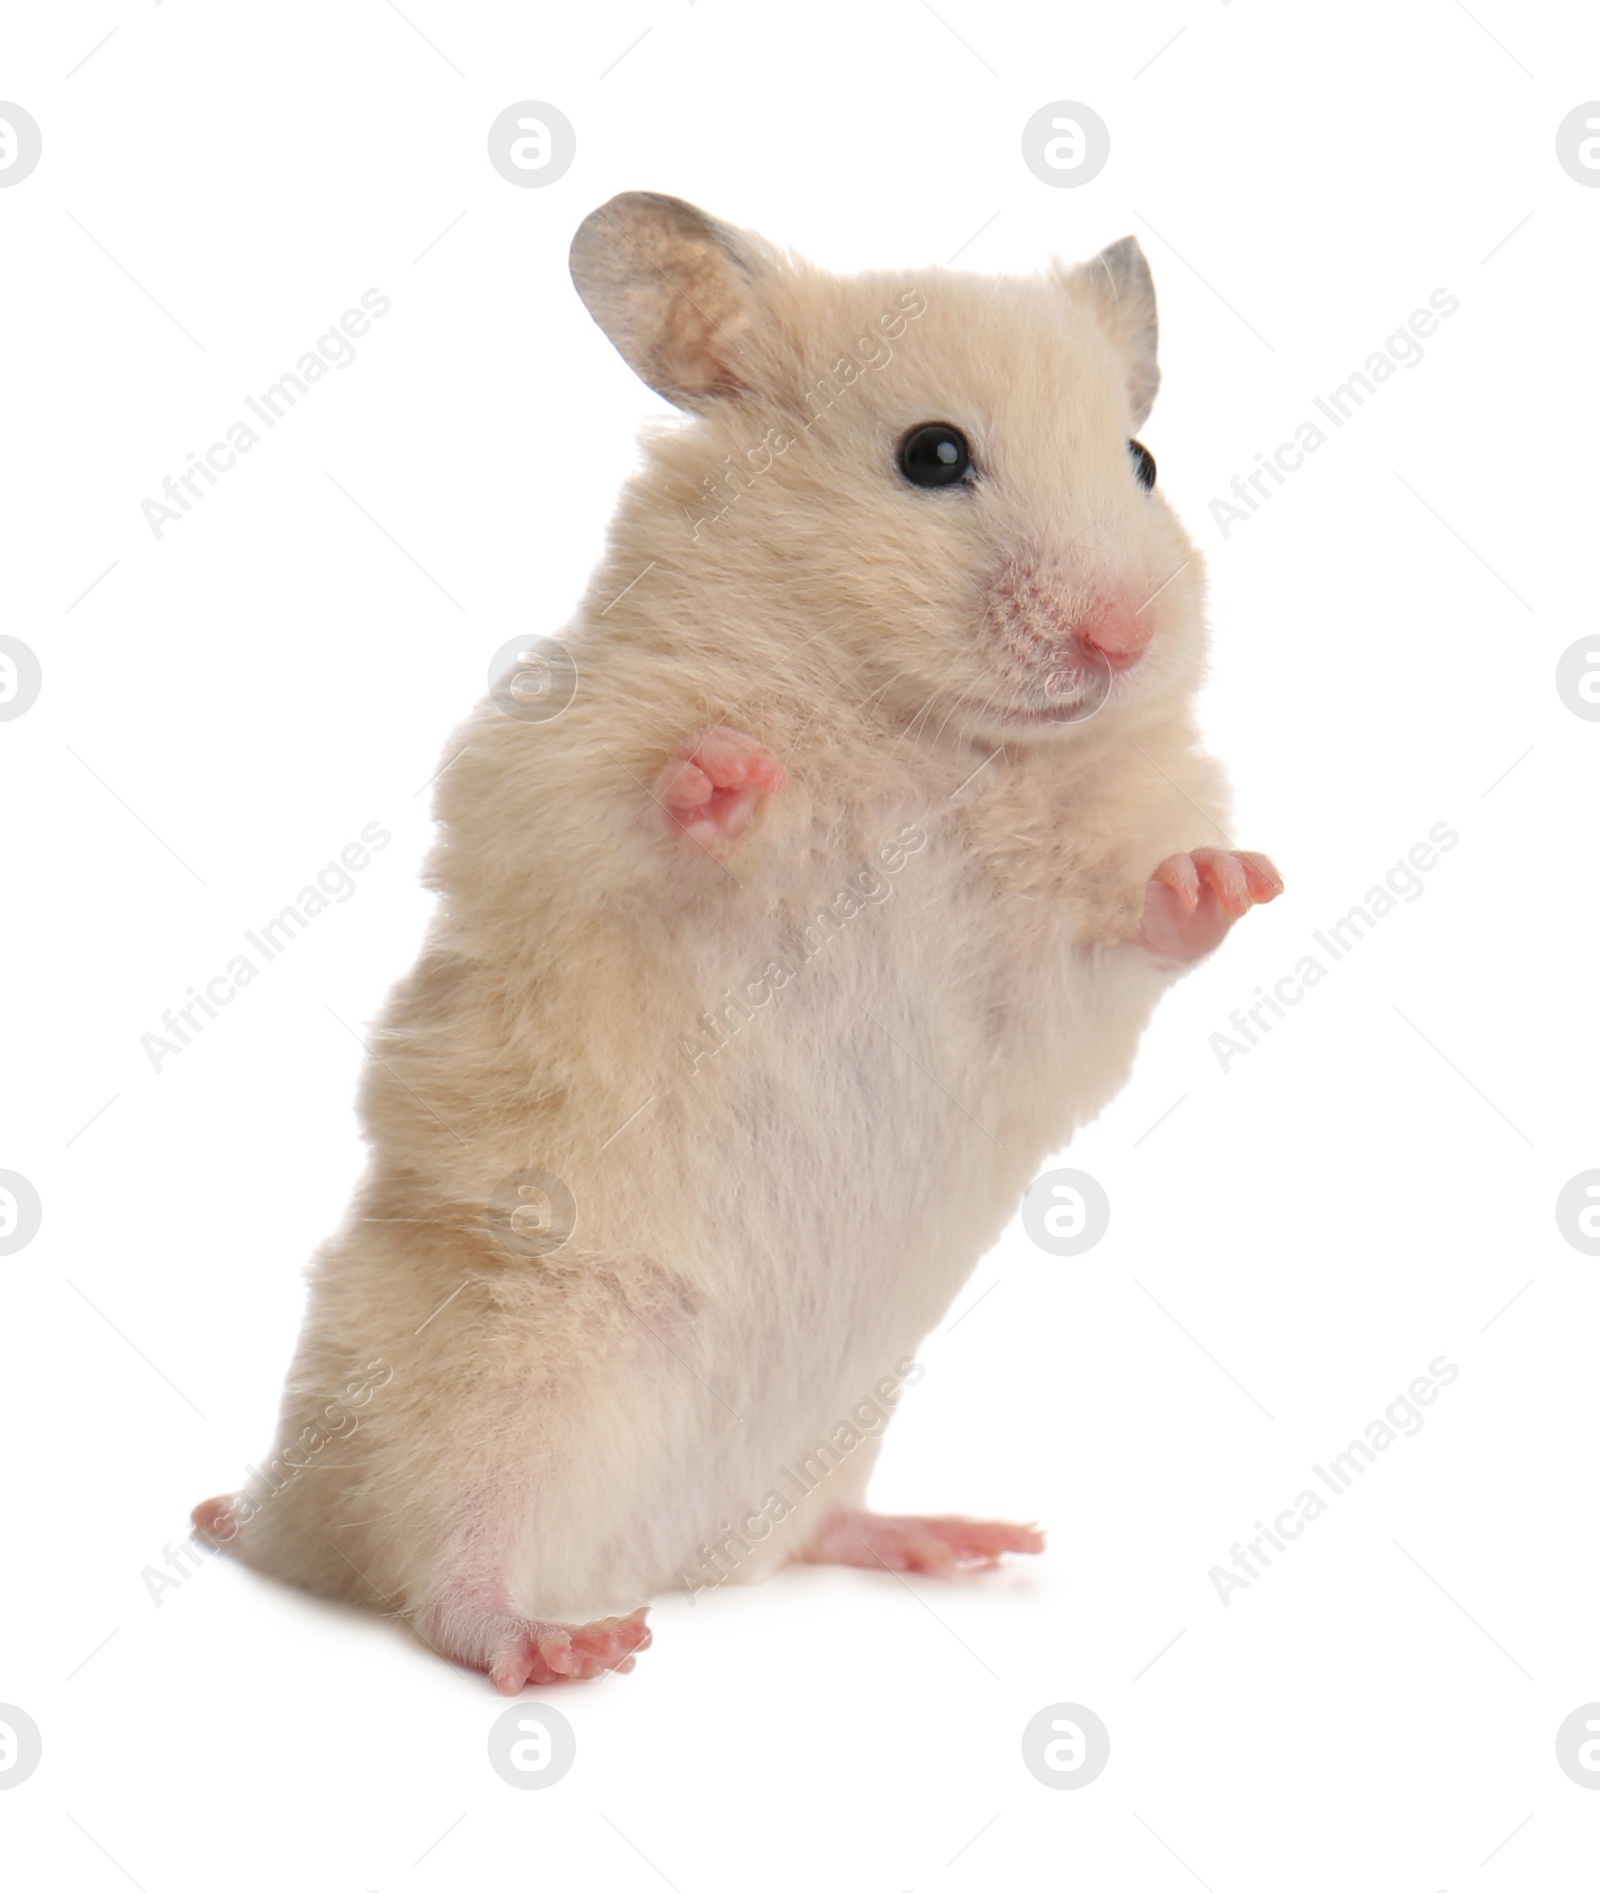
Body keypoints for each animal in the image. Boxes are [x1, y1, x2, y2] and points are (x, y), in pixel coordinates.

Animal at [193, 192, 1280, 1696]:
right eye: (932, 455)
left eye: (1142, 461)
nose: (1124, 639)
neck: (934, 737)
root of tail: (657, 1558)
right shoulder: (558, 777)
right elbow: (648, 814)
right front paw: (730, 778)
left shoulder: (1044, 969)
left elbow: (1128, 923)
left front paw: (1232, 876)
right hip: (496, 1379)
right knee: (430, 1574)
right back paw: (559, 1645)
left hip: (831, 1432)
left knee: (807, 1533)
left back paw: (957, 1540)